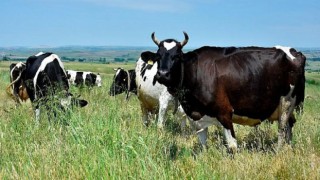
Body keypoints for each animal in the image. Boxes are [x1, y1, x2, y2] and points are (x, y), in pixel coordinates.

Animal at [141, 31, 306, 151]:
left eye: (176, 56)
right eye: (158, 56)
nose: (162, 74)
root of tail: (295, 52)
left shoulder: (225, 113)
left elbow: (232, 146)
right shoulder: (198, 117)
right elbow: (202, 145)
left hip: (286, 103)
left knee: (282, 129)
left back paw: (279, 151)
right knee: (290, 125)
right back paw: (288, 148)